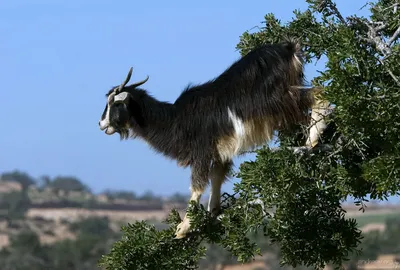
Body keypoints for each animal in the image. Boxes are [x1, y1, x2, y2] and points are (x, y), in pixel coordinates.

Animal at [98, 39, 330, 238]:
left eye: (116, 103)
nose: (101, 124)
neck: (176, 119)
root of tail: (289, 49)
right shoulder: (220, 151)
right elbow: (217, 176)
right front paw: (213, 211)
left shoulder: (201, 151)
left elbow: (197, 185)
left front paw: (184, 227)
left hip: (279, 99)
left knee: (320, 94)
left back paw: (312, 141)